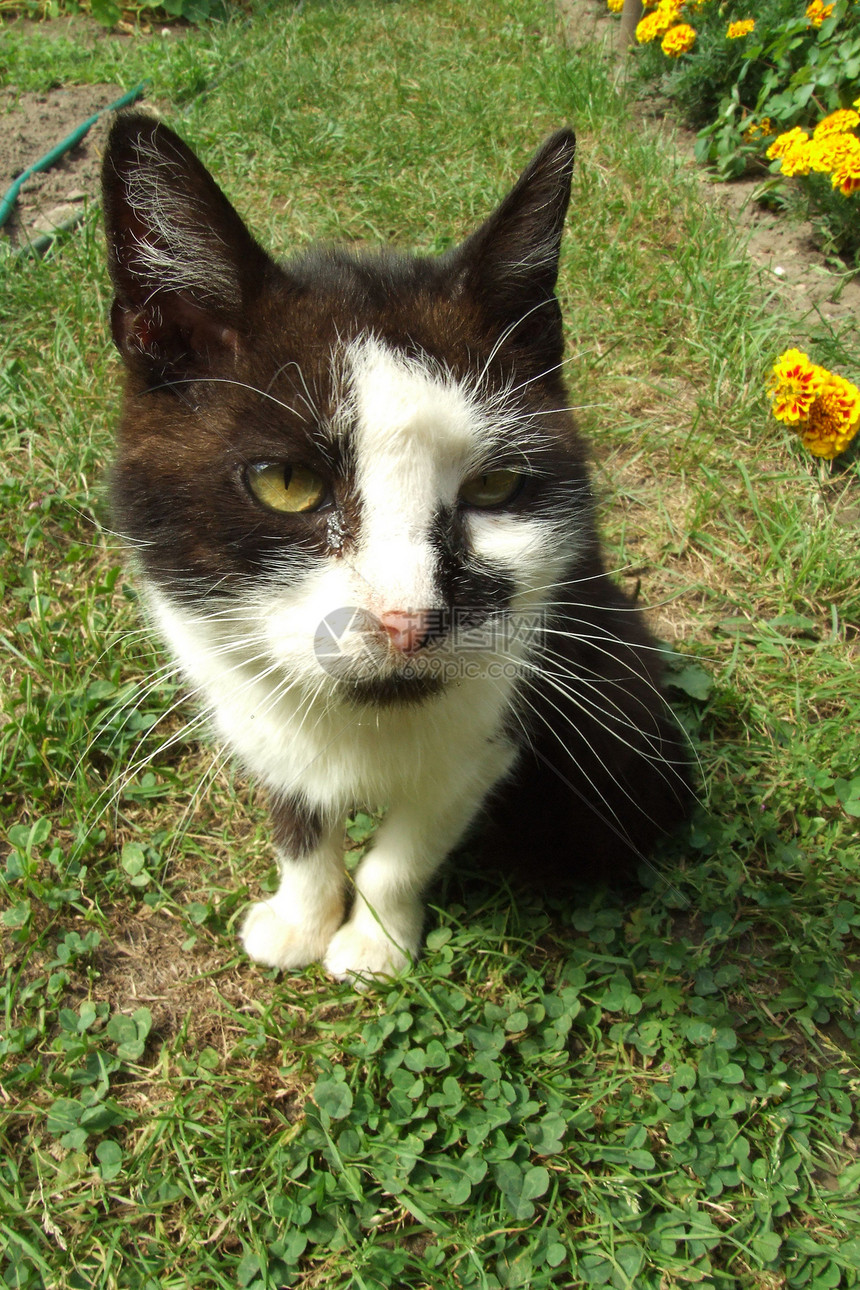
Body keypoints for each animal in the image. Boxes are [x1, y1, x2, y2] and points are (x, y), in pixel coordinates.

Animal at [102, 110, 691, 980]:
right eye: (285, 481)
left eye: (494, 487)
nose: (409, 620)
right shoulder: (245, 698)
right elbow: (296, 811)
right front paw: (300, 919)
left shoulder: (500, 718)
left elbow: (412, 839)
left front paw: (373, 943)